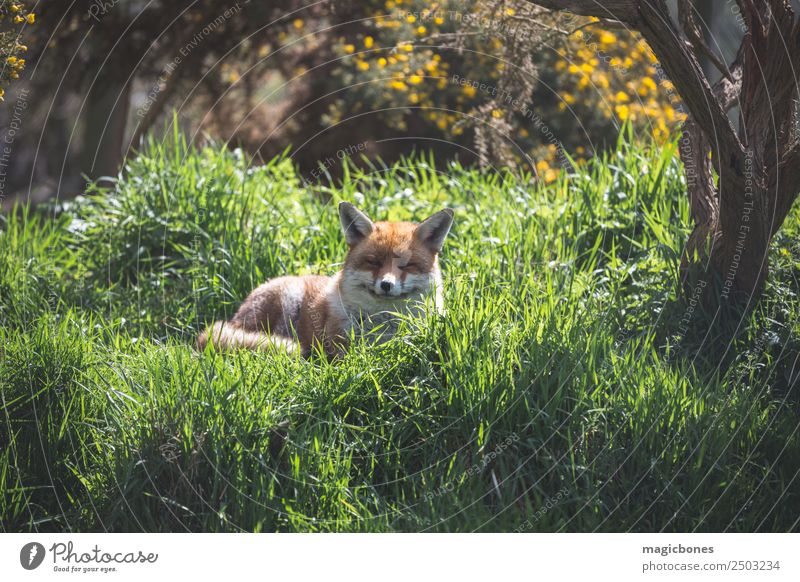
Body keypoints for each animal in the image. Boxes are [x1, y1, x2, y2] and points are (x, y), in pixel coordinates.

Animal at [197, 205, 454, 360]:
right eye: (373, 262)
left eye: (406, 265)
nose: (386, 285)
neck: (385, 326)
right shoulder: (340, 347)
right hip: (287, 299)